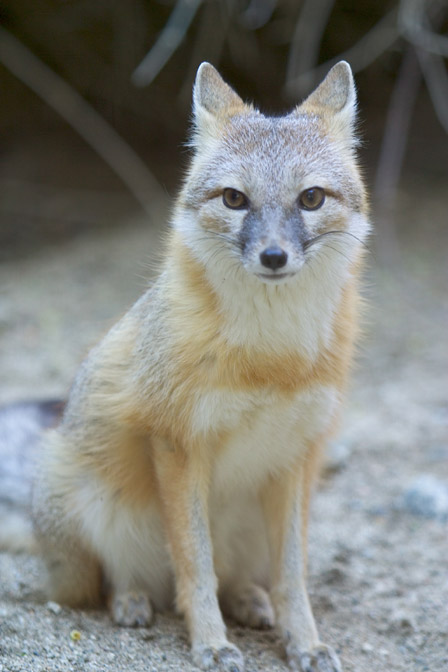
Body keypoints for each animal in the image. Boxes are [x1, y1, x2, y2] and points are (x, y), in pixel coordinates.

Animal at [2, 61, 370, 672]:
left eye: (312, 198)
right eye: (235, 199)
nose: (273, 256)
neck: (269, 359)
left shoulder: (295, 455)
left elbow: (291, 575)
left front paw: (304, 641)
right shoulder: (177, 443)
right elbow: (195, 564)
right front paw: (211, 644)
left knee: (239, 576)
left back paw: (248, 601)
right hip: (81, 512)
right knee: (114, 581)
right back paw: (131, 600)